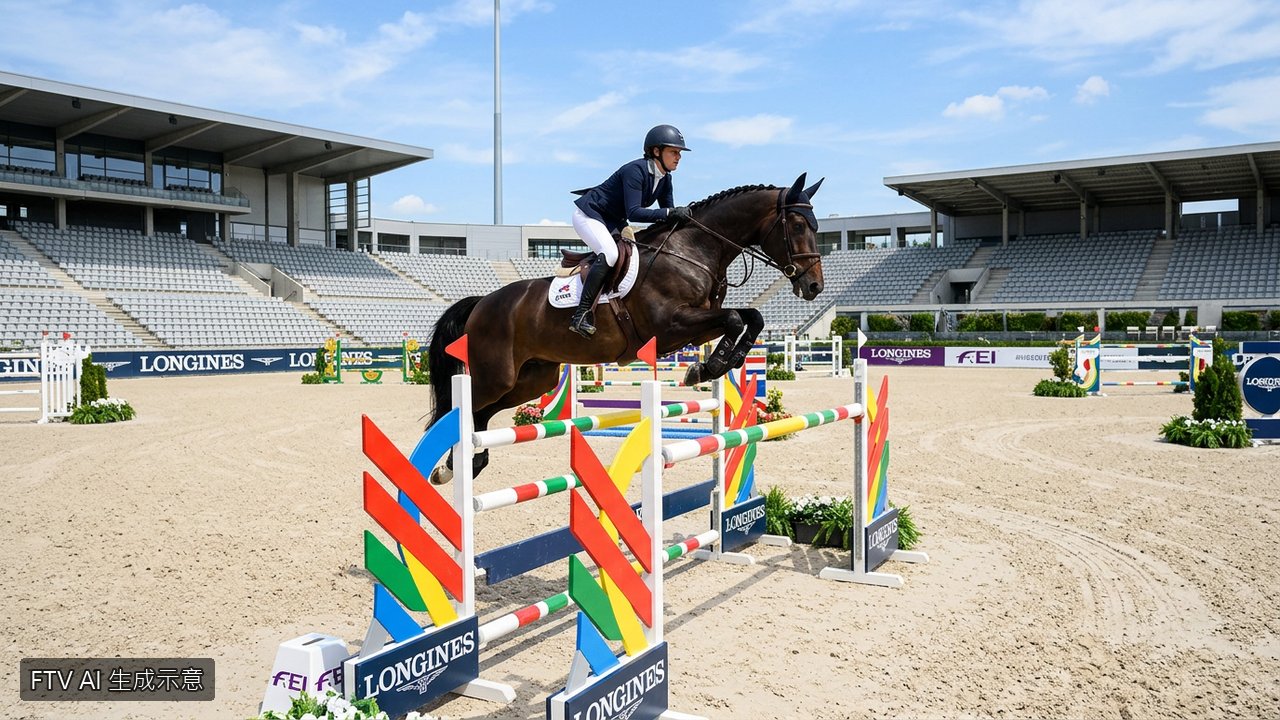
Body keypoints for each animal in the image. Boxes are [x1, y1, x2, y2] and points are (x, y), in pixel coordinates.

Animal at [425, 173, 826, 484]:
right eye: (797, 225)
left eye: (816, 227)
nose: (814, 287)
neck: (693, 249)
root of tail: (482, 302)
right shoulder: (671, 325)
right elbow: (735, 319)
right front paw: (707, 367)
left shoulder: (697, 325)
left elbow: (750, 318)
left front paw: (718, 364)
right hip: (497, 375)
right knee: (461, 409)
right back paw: (448, 467)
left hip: (533, 378)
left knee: (482, 412)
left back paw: (466, 464)